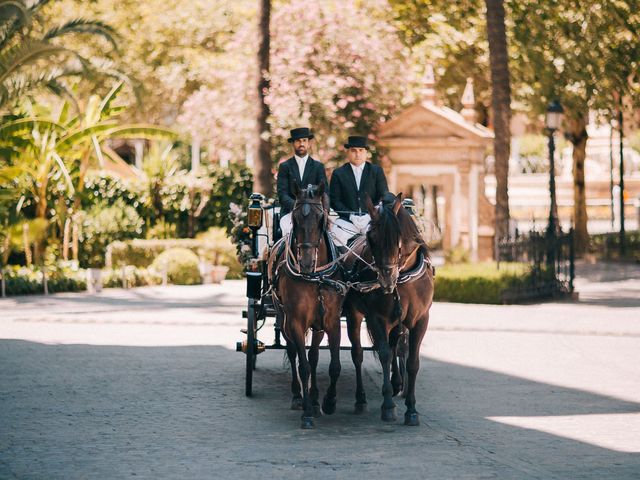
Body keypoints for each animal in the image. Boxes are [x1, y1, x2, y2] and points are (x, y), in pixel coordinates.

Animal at [266, 182, 344, 430]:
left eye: (320, 218)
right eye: (295, 219)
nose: (306, 263)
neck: (315, 278)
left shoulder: (331, 321)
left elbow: (332, 365)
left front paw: (328, 401)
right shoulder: (296, 322)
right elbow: (303, 366)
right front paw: (307, 412)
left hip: (317, 325)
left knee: (315, 355)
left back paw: (316, 399)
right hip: (283, 318)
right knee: (293, 354)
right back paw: (298, 397)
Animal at [344, 193, 436, 426]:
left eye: (398, 238)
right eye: (371, 238)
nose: (386, 279)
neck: (403, 278)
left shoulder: (420, 320)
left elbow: (412, 360)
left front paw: (411, 408)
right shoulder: (377, 318)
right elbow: (384, 354)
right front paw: (388, 406)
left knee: (398, 347)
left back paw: (397, 382)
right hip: (354, 315)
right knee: (357, 354)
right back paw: (361, 399)